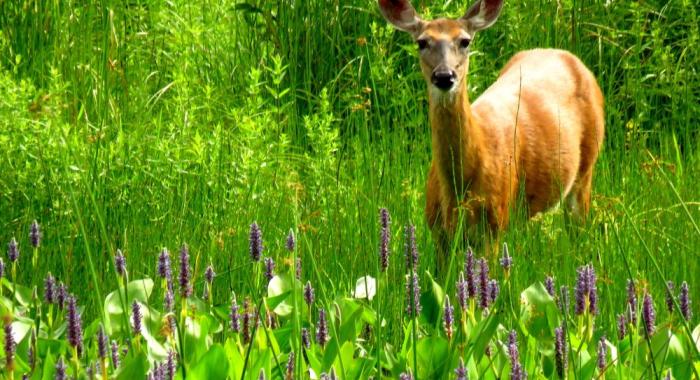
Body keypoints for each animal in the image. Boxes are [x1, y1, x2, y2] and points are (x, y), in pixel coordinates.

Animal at [380, 0, 604, 268]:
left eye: (465, 41)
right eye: (422, 42)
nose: (444, 76)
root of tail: (566, 55)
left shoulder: (493, 226)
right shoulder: (438, 233)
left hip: (586, 169)